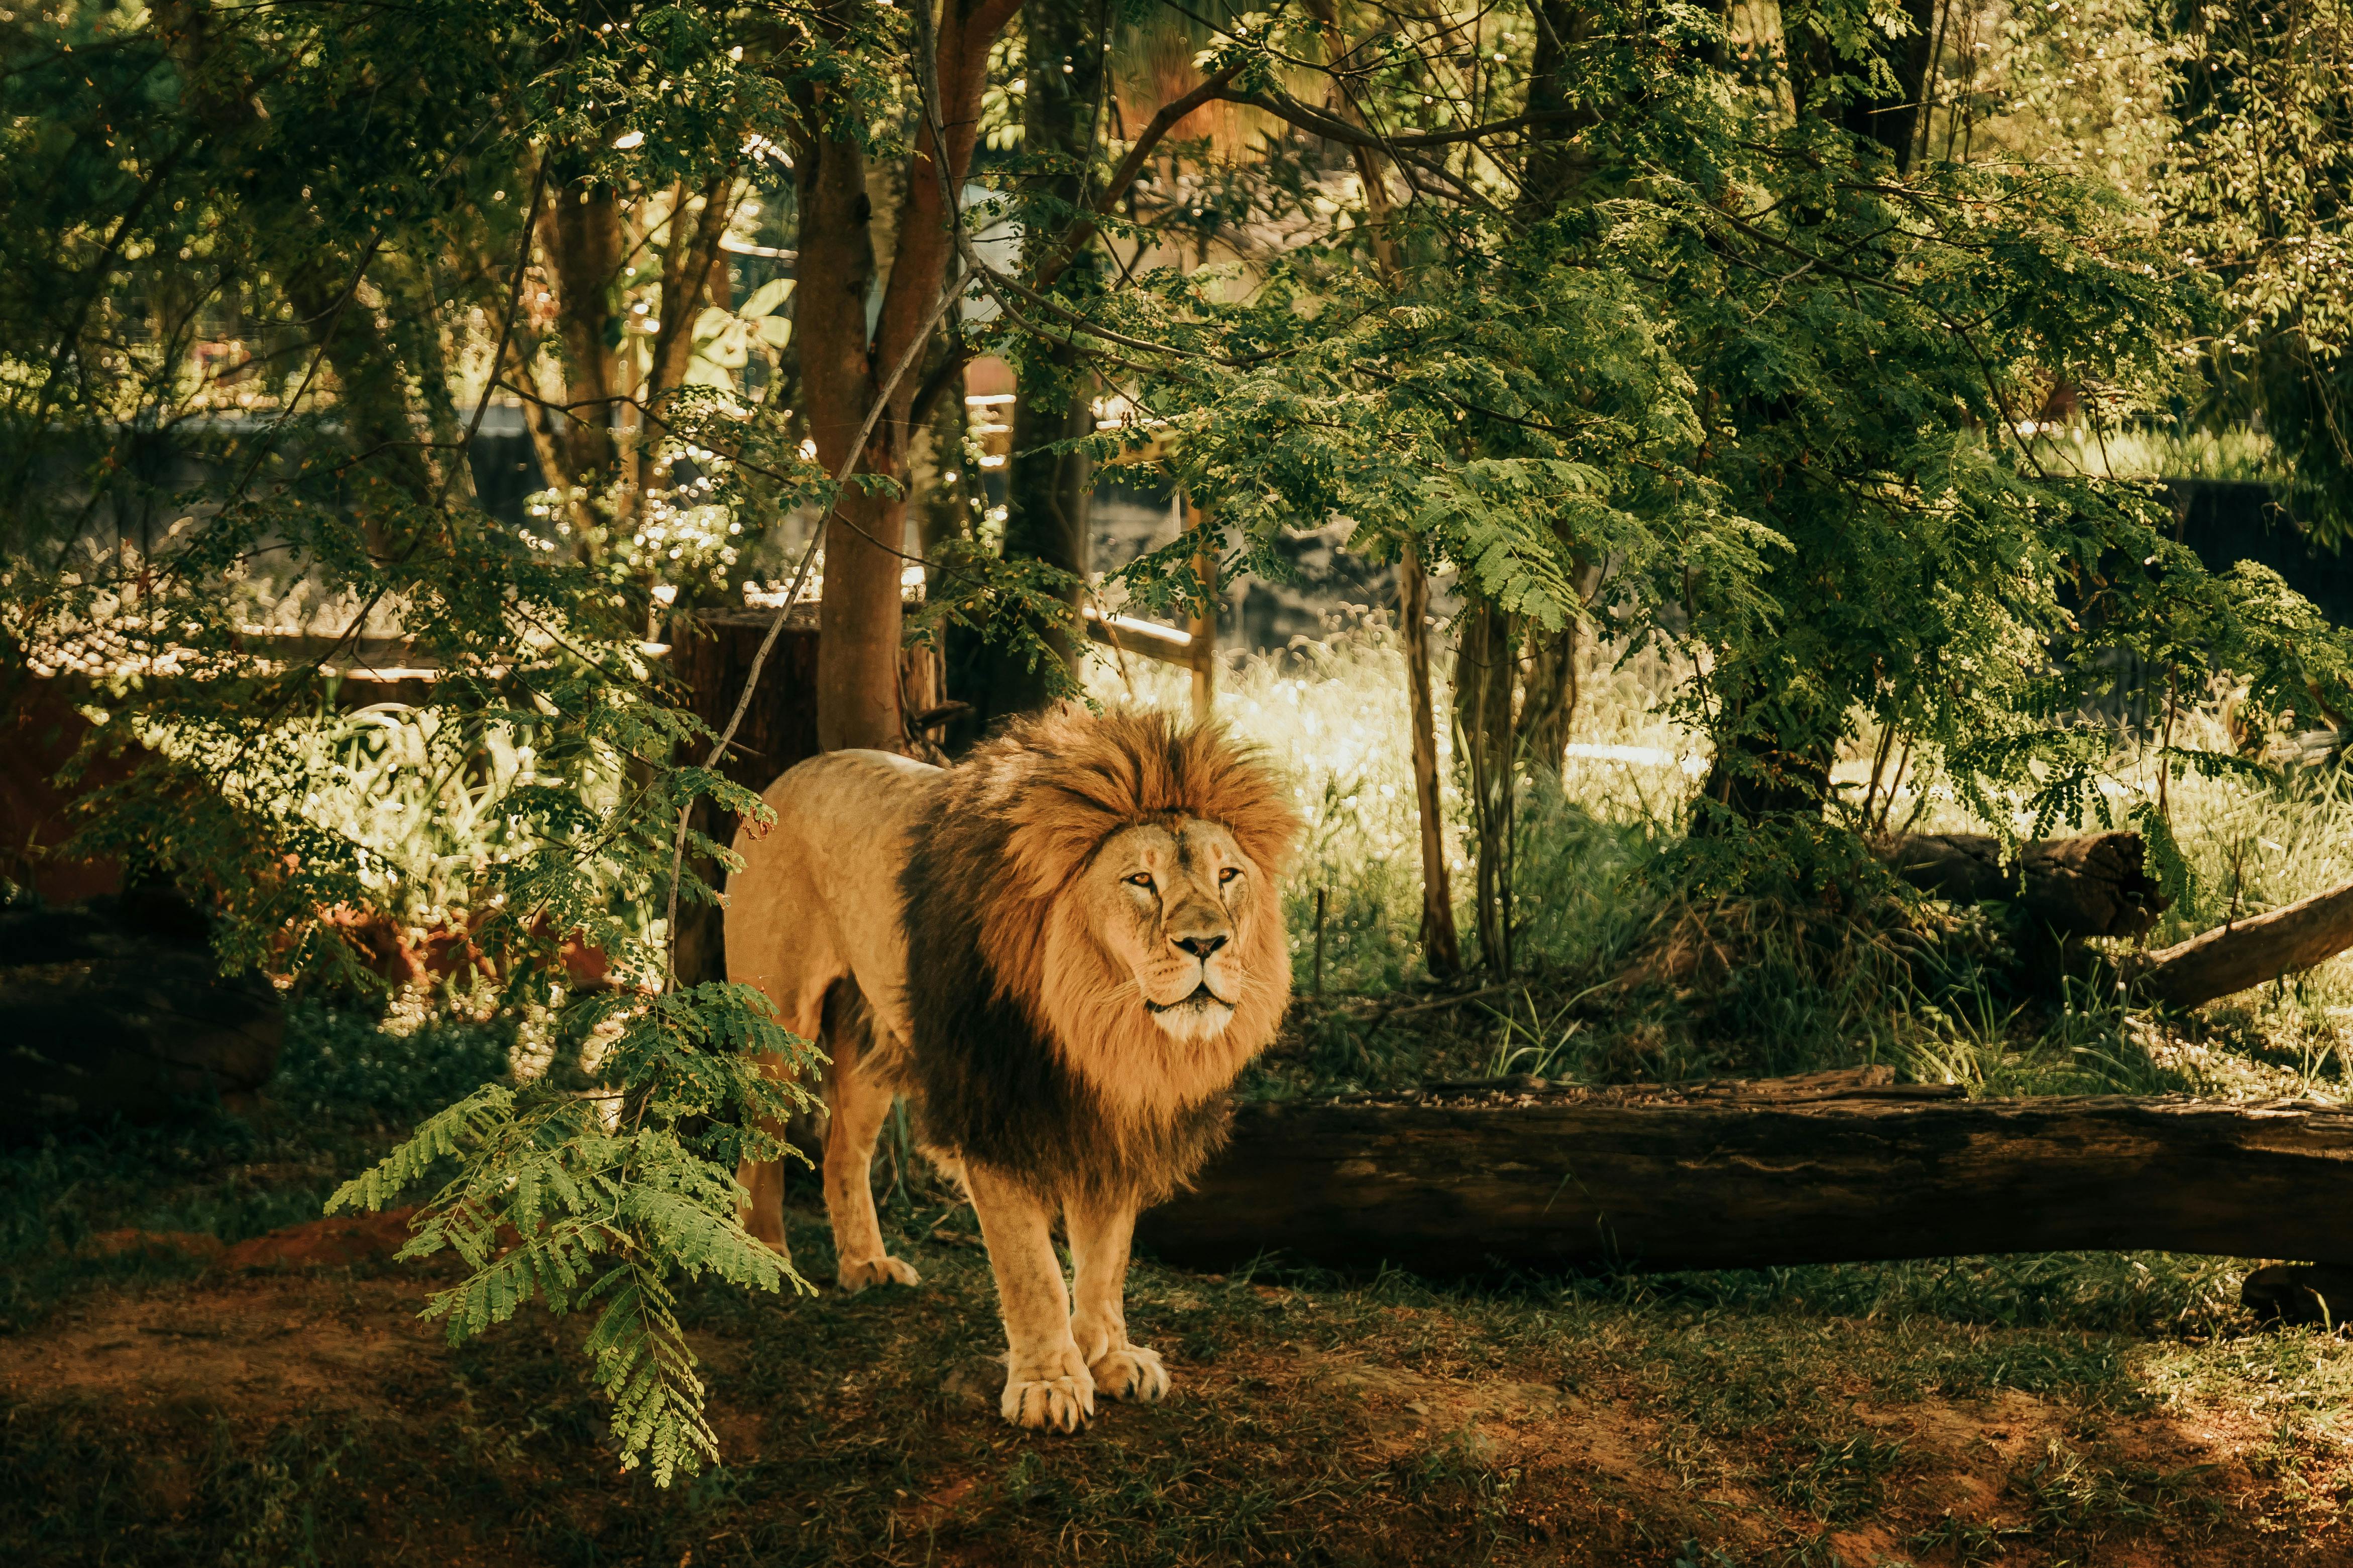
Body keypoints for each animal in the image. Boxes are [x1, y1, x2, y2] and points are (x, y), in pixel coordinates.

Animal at [725, 707, 1300, 1431]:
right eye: (1140, 881)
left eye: (1228, 876)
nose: (1207, 943)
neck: (1102, 1032)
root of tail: (790, 773)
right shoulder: (990, 1114)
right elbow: (1033, 1268)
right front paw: (1049, 1382)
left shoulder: (1114, 1124)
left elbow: (1106, 1256)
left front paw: (1110, 1356)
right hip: (777, 1017)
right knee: (760, 1136)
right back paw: (764, 1253)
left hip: (870, 1038)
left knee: (841, 1154)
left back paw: (865, 1264)